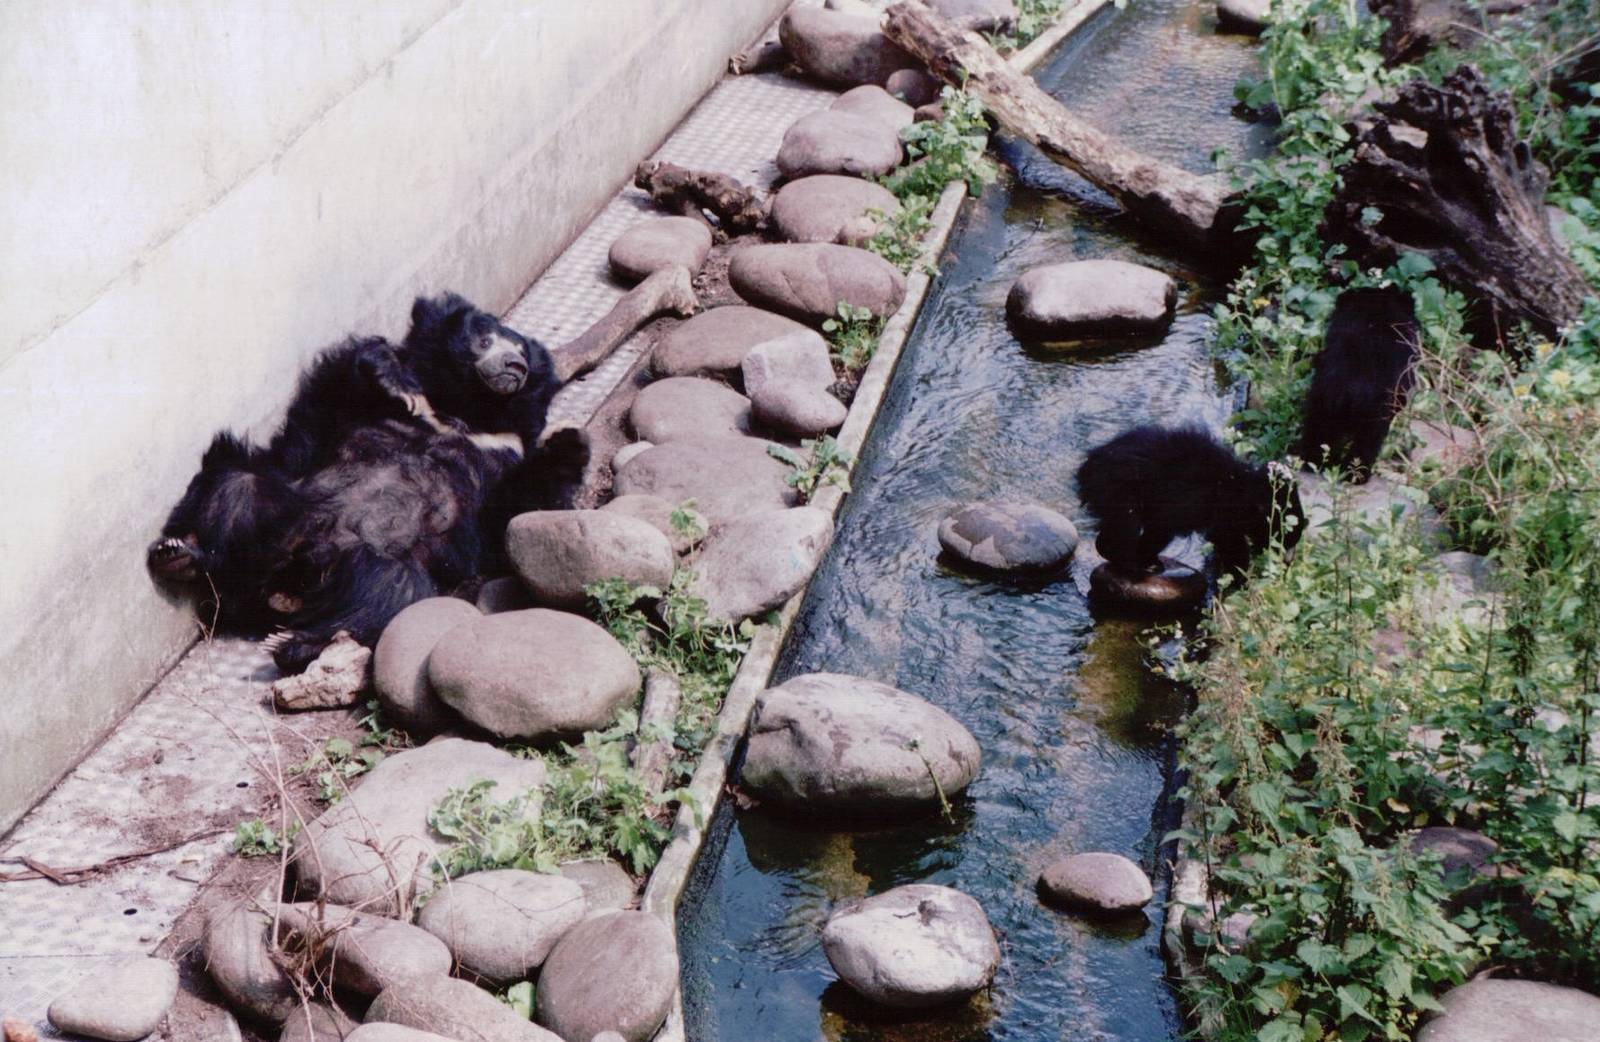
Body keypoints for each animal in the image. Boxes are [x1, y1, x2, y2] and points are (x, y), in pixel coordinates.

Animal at [148, 292, 586, 673]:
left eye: (524, 353)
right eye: (484, 340)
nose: (514, 366)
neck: (463, 411)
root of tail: (285, 583)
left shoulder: (503, 451)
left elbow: (510, 519)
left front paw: (568, 441)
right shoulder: (351, 414)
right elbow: (320, 410)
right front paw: (388, 375)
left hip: (369, 561)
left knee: (392, 590)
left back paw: (295, 643)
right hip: (283, 518)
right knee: (238, 484)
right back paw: (181, 555)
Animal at [1076, 424, 1304, 576]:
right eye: (1282, 537)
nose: (1287, 563)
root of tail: (1086, 469)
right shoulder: (1225, 513)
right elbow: (1228, 541)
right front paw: (1240, 576)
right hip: (1121, 493)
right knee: (1125, 529)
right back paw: (1131, 563)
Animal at [1300, 286, 1419, 482]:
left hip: (1322, 399)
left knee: (1318, 430)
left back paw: (1314, 464)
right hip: (1374, 413)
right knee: (1367, 442)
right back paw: (1356, 475)